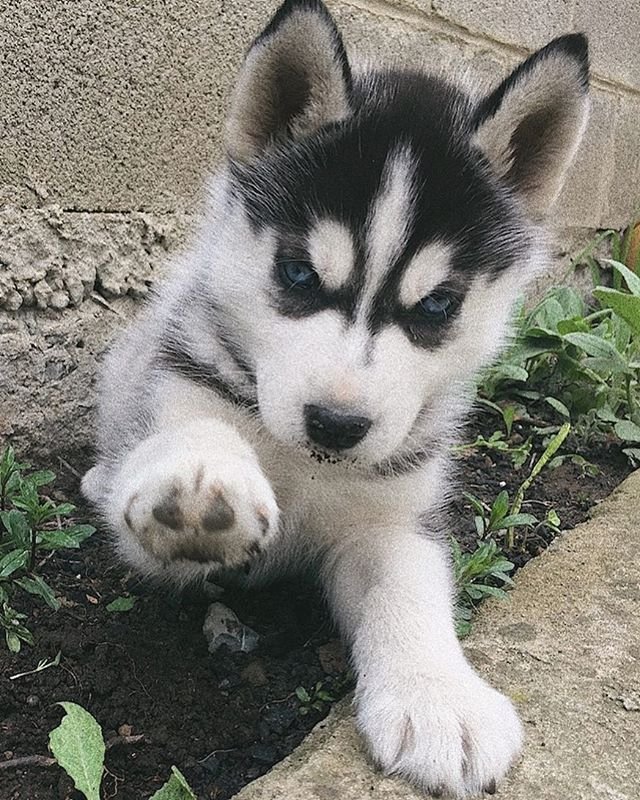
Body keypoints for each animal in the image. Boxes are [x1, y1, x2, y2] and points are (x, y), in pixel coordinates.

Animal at [81, 1, 592, 792]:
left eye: (437, 305)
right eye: (297, 274)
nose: (336, 423)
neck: (306, 467)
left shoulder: (393, 517)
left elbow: (407, 589)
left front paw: (440, 697)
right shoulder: (174, 393)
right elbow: (189, 436)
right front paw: (201, 481)